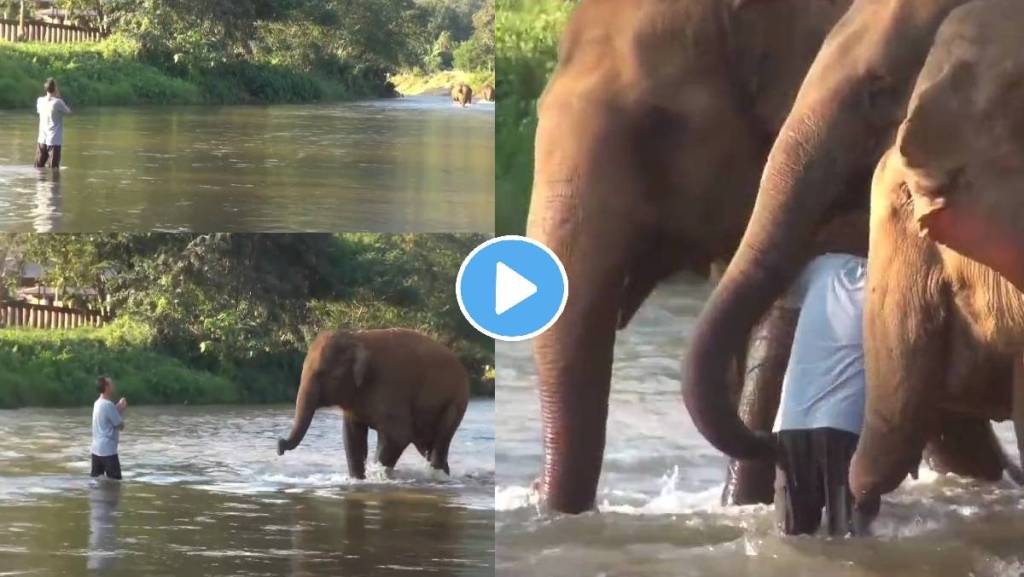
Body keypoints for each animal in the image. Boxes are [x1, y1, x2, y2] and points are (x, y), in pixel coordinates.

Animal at [276, 329, 470, 479]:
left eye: (326, 374)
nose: (280, 446)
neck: (356, 337)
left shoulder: (391, 386)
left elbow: (398, 436)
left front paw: (377, 476)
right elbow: (352, 435)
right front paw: (357, 479)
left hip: (455, 402)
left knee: (439, 441)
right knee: (427, 446)